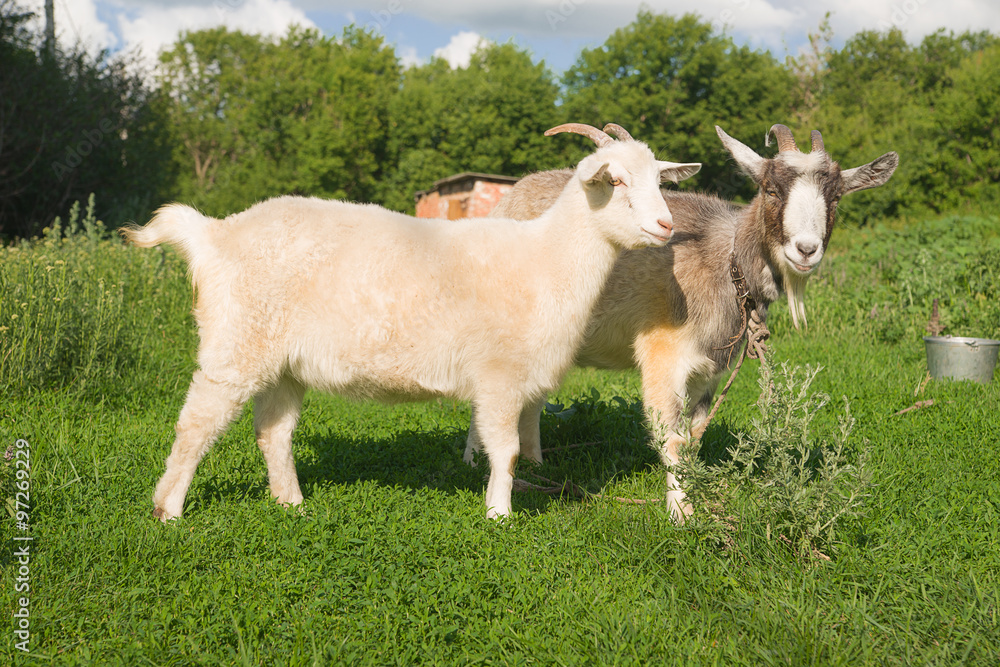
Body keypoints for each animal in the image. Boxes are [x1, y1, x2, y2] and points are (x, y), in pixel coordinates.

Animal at [122, 123, 701, 521]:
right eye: (615, 180)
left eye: (658, 180)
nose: (664, 224)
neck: (546, 258)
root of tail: (214, 235)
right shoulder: (498, 376)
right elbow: (507, 450)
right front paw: (500, 515)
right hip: (236, 343)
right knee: (197, 423)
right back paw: (168, 510)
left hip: (282, 364)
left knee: (273, 432)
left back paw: (292, 504)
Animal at [464, 124, 898, 520]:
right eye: (770, 189)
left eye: (836, 196)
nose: (806, 250)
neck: (725, 262)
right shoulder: (664, 354)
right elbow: (670, 438)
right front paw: (681, 514)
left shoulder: (709, 370)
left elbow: (693, 437)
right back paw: (474, 459)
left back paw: (535, 462)